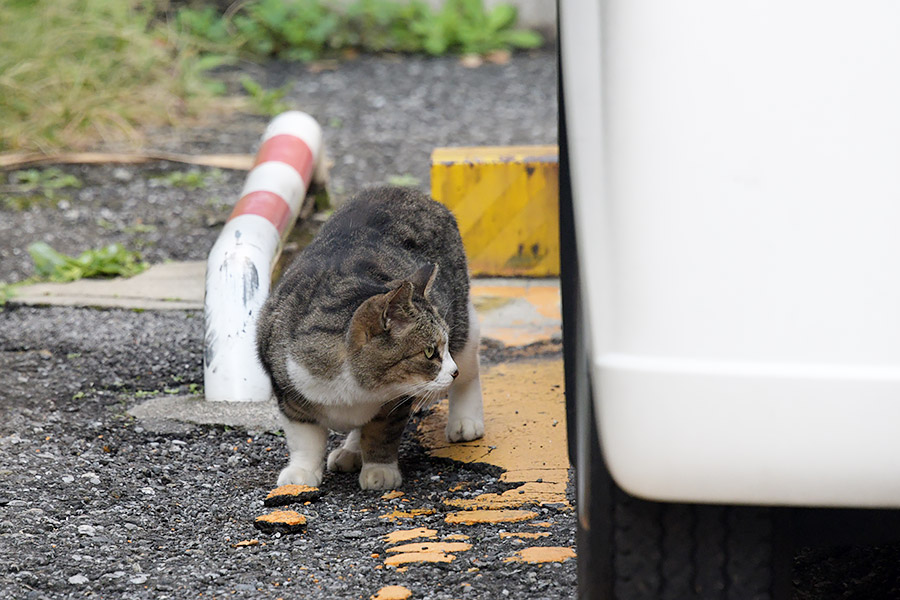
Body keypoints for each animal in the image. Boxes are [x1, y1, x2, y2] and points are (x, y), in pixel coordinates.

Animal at [258, 185, 486, 490]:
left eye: (443, 347)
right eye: (429, 352)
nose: (453, 371)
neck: (352, 389)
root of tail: (404, 191)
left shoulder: (396, 401)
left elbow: (380, 432)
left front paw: (379, 469)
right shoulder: (287, 391)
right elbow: (304, 437)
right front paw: (302, 471)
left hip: (464, 323)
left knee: (471, 368)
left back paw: (465, 421)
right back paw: (350, 450)